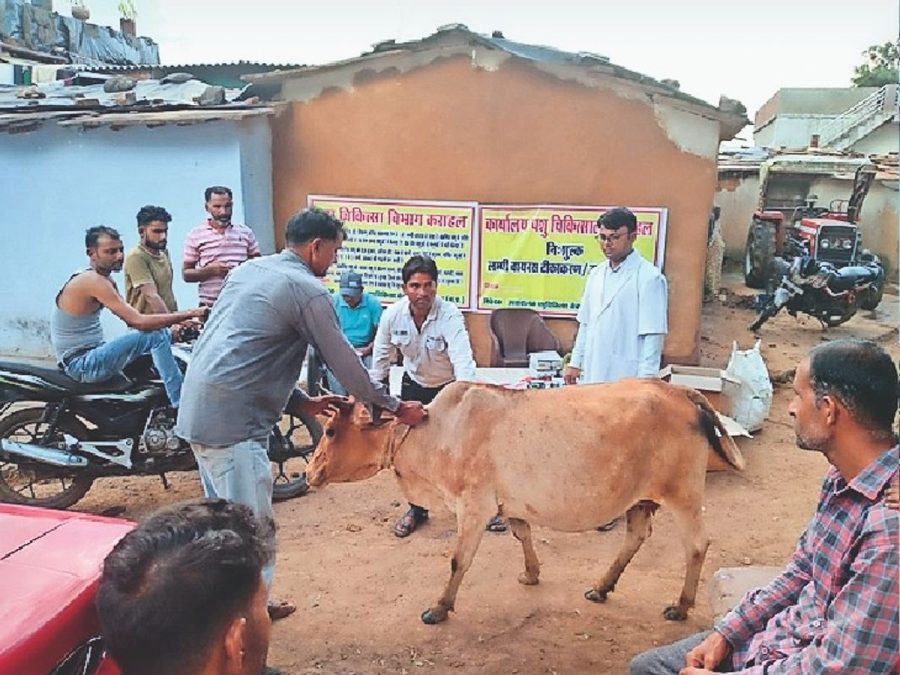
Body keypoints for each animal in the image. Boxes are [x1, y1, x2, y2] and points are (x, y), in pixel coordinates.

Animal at [306, 380, 740, 628]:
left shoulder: (474, 506)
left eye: (331, 430)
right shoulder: (506, 505)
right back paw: (601, 588)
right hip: (641, 499)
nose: (309, 472)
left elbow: (458, 561)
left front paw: (440, 608)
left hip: (683, 494)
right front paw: (531, 573)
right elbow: (522, 533)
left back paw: (681, 606)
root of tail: (681, 392)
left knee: (696, 545)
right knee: (636, 536)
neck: (436, 431)